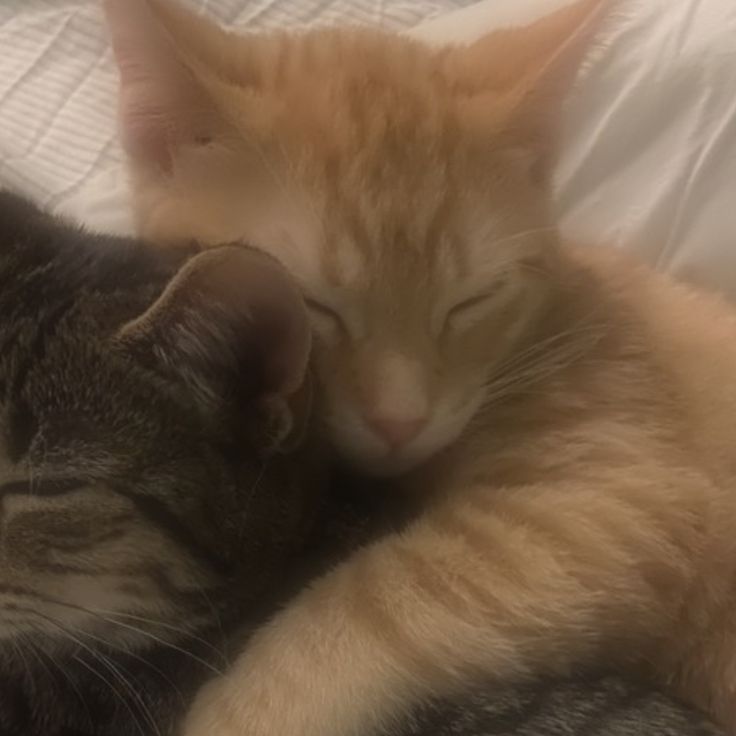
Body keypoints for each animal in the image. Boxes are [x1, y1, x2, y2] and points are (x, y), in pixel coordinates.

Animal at [105, 0, 736, 732]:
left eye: (473, 300)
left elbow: (381, 599)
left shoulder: (627, 495)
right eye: (312, 304)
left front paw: (244, 712)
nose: (399, 421)